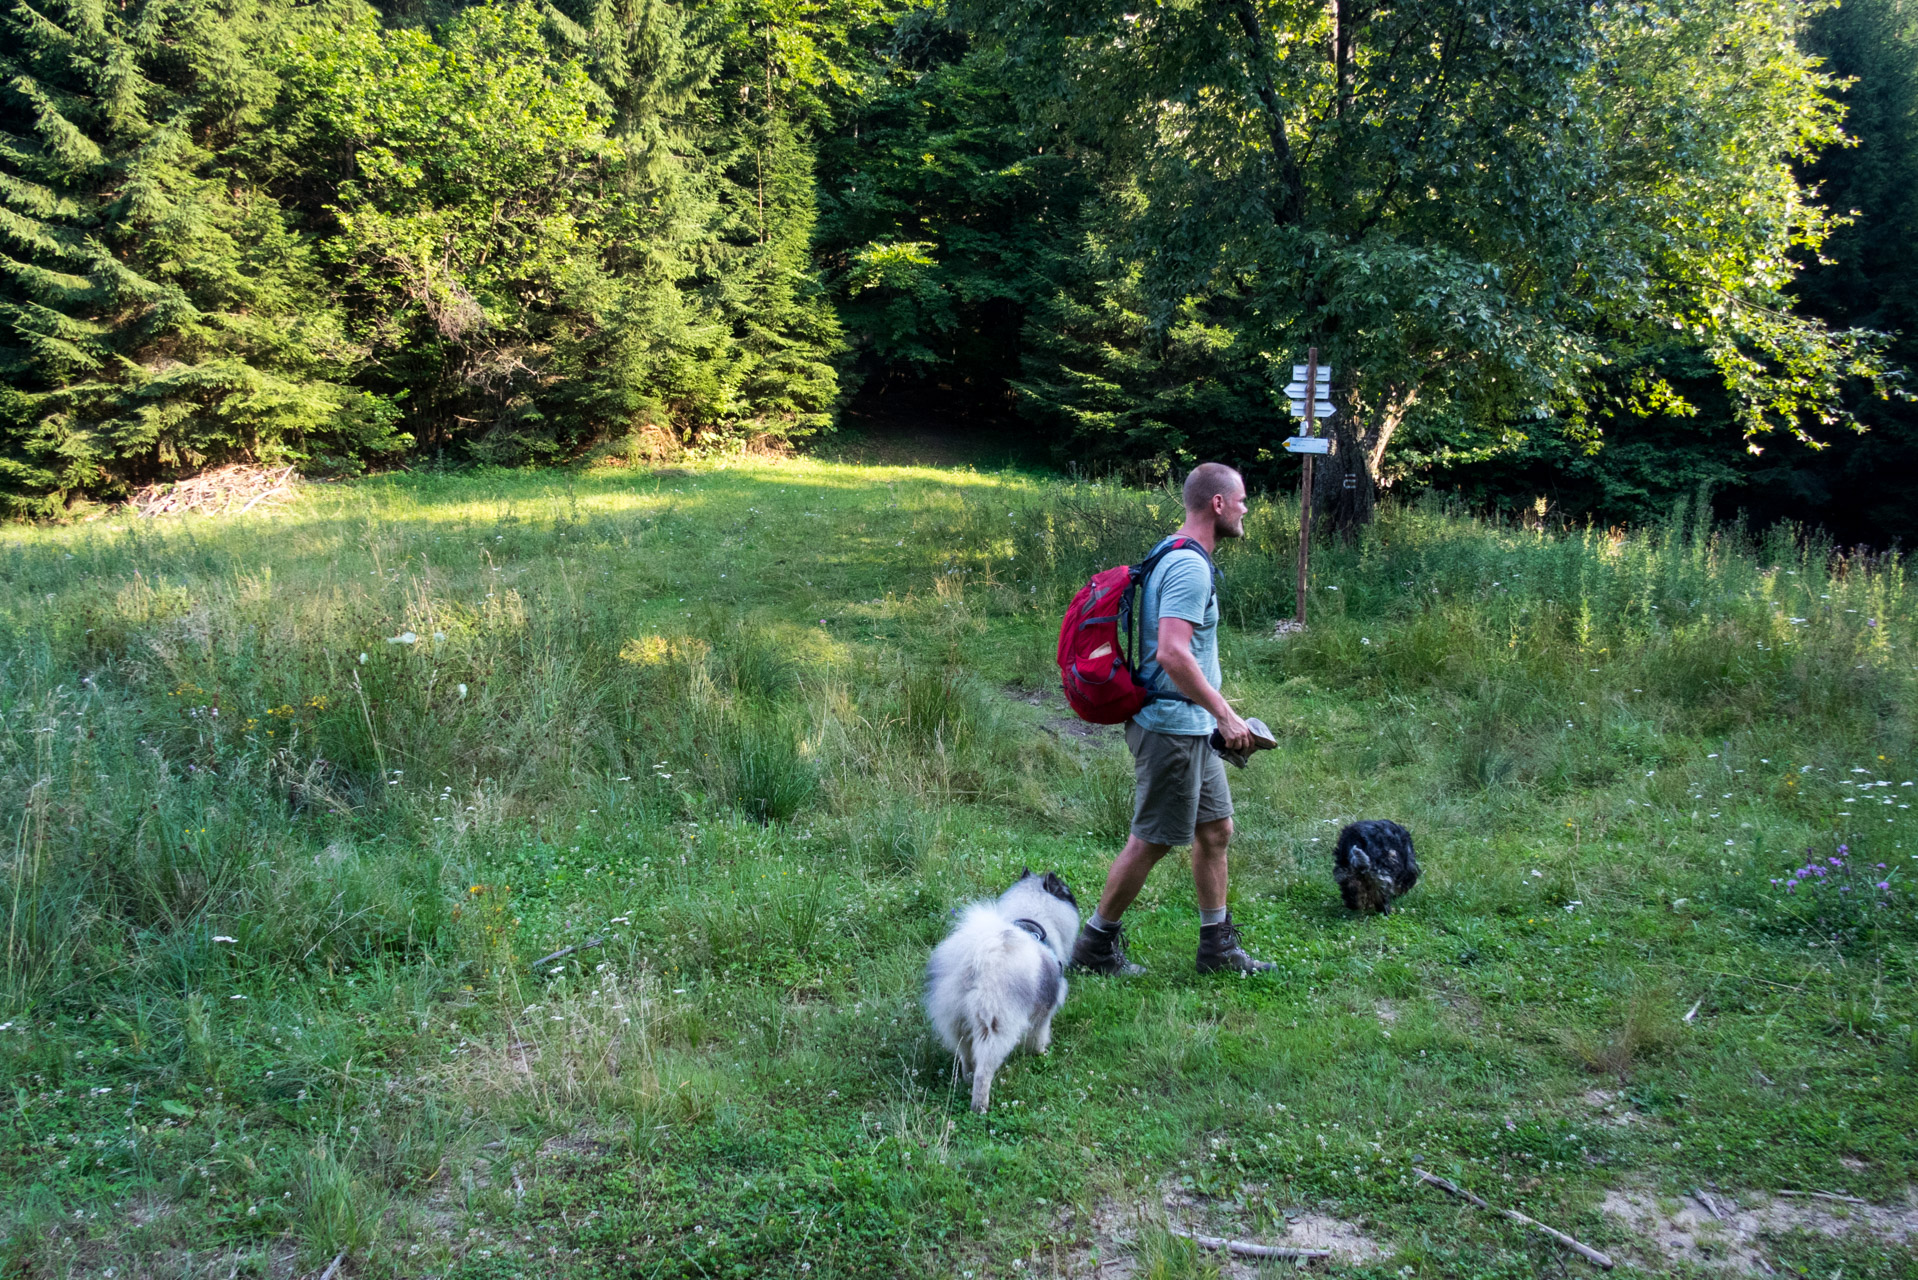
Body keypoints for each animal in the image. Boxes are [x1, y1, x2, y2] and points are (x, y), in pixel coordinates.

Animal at [916, 871, 1074, 1113]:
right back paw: (980, 1106)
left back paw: (966, 1080)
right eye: (1067, 891)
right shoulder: (1045, 1012)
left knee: (966, 1057)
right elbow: (1039, 1036)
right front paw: (1041, 1053)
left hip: (956, 1021)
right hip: (996, 1027)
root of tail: (977, 960)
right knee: (984, 1072)